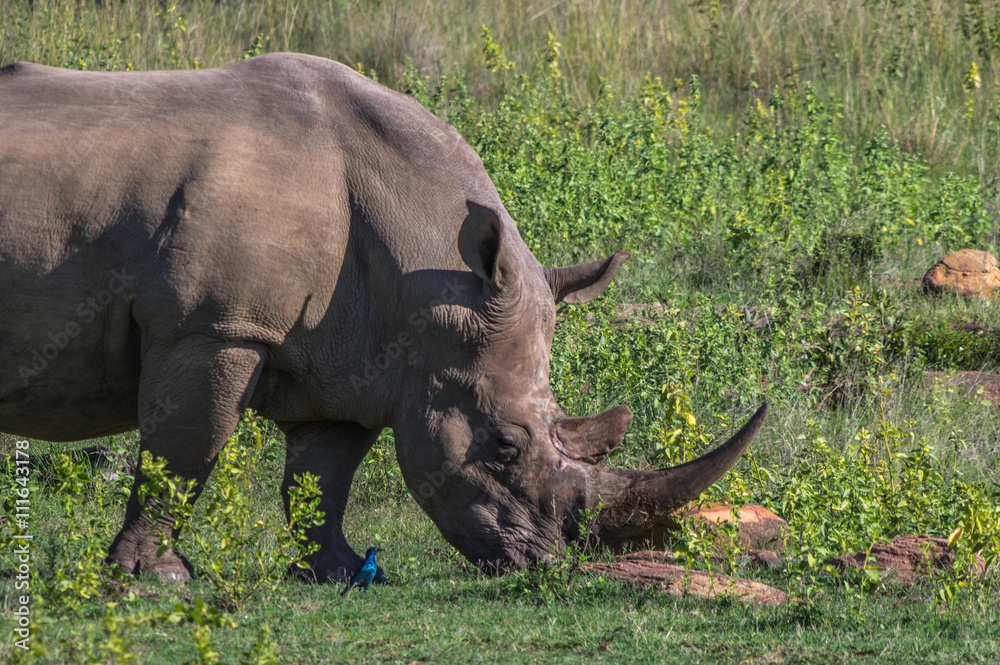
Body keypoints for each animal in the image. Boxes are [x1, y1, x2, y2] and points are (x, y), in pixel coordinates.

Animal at [0, 53, 767, 581]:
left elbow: (322, 473)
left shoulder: (352, 355)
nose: (545, 561)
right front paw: (154, 578)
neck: (427, 273)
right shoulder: (214, 325)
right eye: (504, 445)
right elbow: (185, 452)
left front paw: (336, 571)